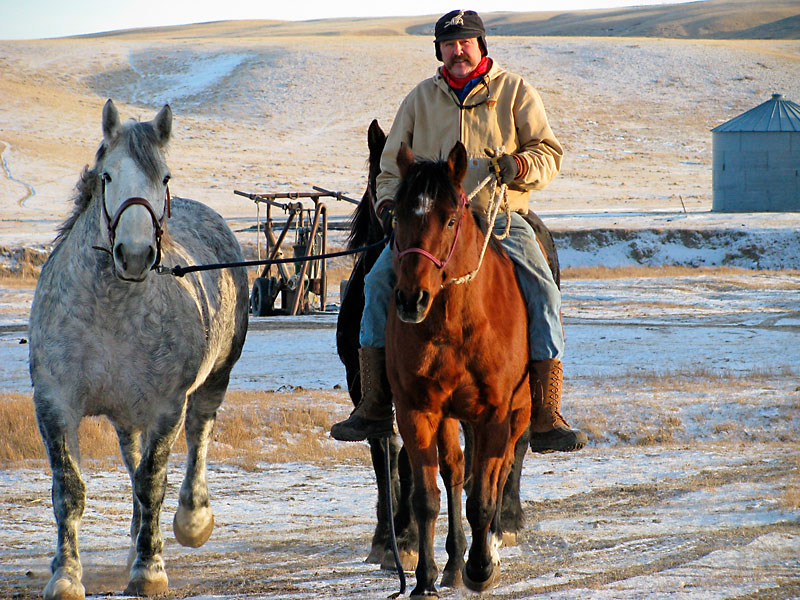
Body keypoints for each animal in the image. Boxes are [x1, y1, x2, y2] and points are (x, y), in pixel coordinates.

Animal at [28, 101, 248, 596]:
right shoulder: (55, 403)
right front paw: (66, 574)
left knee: (198, 436)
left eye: (164, 178)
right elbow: (69, 489)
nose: (134, 253)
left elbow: (152, 483)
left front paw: (149, 570)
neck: (110, 311)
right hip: (126, 411)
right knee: (132, 458)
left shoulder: (167, 406)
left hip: (214, 379)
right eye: (108, 176)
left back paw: (191, 520)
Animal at [386, 141, 532, 596]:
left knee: (500, 471)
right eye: (397, 215)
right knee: (454, 470)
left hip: (518, 414)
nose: (411, 299)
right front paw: (424, 581)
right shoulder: (417, 411)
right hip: (450, 415)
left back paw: (489, 548)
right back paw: (453, 563)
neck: (455, 324)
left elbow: (483, 497)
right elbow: (426, 498)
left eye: (450, 218)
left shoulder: (495, 414)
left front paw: (481, 568)